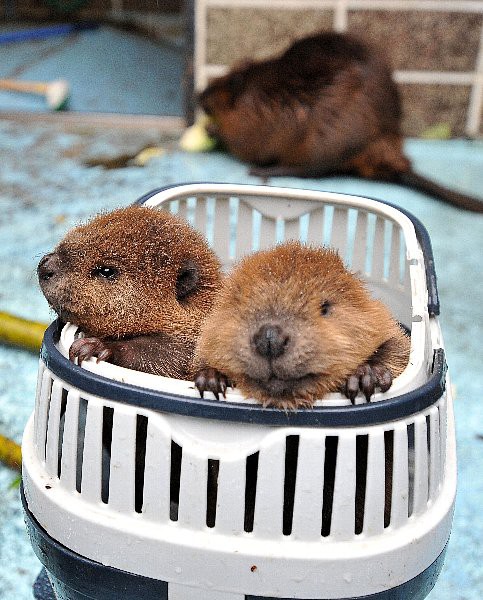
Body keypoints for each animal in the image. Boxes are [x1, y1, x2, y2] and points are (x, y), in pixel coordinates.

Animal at [195, 241, 410, 410]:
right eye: (238, 303)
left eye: (325, 307)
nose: (270, 338)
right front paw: (211, 379)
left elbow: (397, 349)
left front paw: (365, 377)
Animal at [200, 31, 483, 213]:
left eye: (217, 89)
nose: (199, 95)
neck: (256, 90)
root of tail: (394, 159)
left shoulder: (256, 122)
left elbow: (242, 143)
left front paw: (212, 129)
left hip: (319, 145)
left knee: (311, 170)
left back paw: (263, 172)